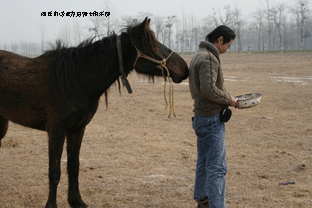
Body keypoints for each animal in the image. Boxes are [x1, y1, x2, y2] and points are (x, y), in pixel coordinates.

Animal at [0, 17, 188, 208]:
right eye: (152, 45)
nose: (184, 69)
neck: (72, 80)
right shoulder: (56, 131)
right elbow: (54, 171)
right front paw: (51, 205)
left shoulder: (77, 129)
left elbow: (73, 166)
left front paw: (76, 201)